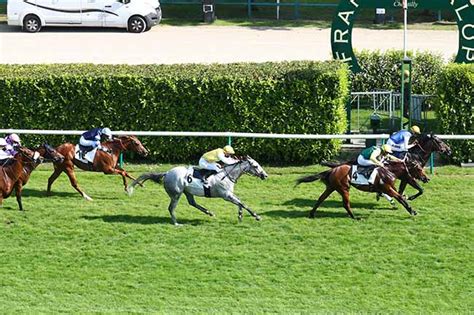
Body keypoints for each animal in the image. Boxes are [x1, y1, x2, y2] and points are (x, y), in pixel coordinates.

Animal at [128, 157, 268, 226]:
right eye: (255, 166)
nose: (265, 175)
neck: (227, 174)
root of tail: (167, 173)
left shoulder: (229, 194)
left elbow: (240, 202)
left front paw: (240, 216)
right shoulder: (226, 195)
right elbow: (243, 203)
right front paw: (257, 216)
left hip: (187, 191)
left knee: (192, 203)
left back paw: (209, 212)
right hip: (176, 194)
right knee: (171, 208)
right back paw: (176, 223)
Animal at [296, 160, 430, 220]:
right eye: (419, 169)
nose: (427, 178)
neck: (388, 171)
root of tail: (332, 170)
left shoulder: (390, 188)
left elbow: (399, 197)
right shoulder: (387, 188)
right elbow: (401, 198)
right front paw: (412, 211)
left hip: (332, 187)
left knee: (321, 198)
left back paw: (312, 214)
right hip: (344, 188)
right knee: (345, 204)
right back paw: (354, 217)